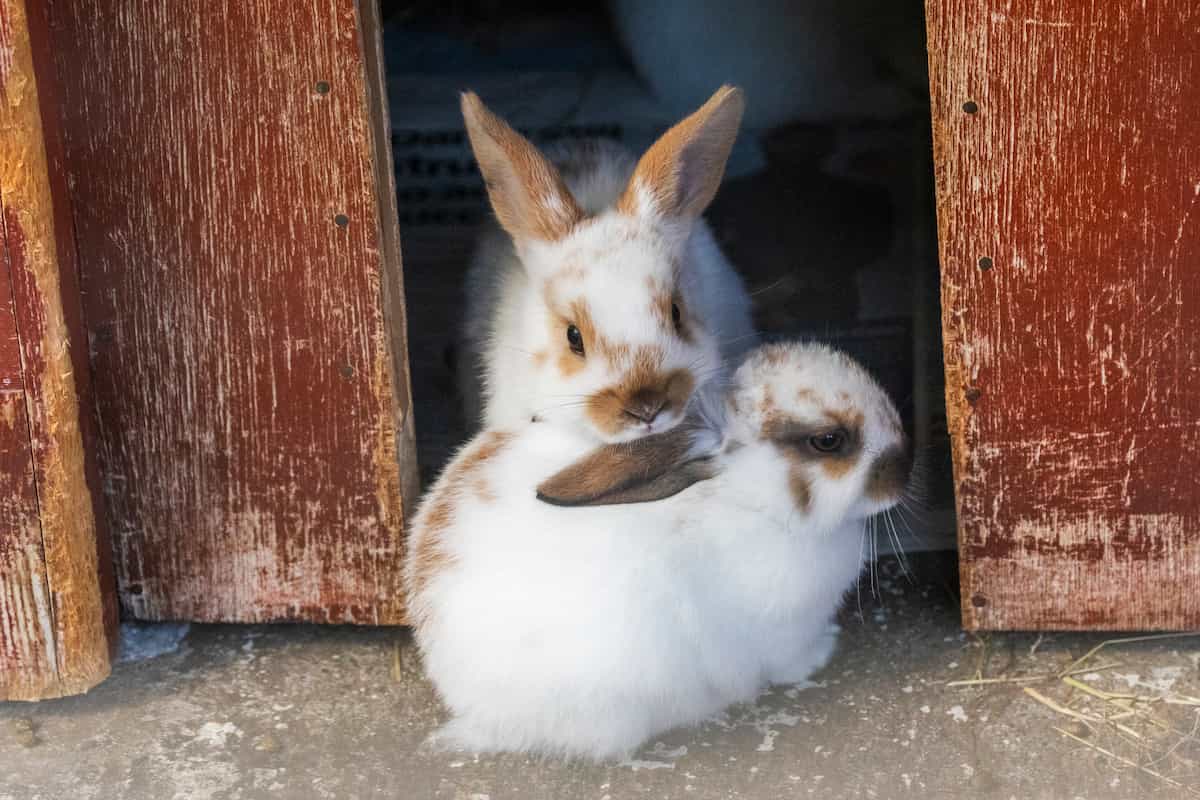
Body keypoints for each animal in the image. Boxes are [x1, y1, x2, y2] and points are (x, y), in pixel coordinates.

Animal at [406, 341, 912, 761]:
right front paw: (824, 651)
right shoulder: (782, 632)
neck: (750, 497)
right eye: (829, 441)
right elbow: (791, 661)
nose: (905, 469)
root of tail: (472, 705)